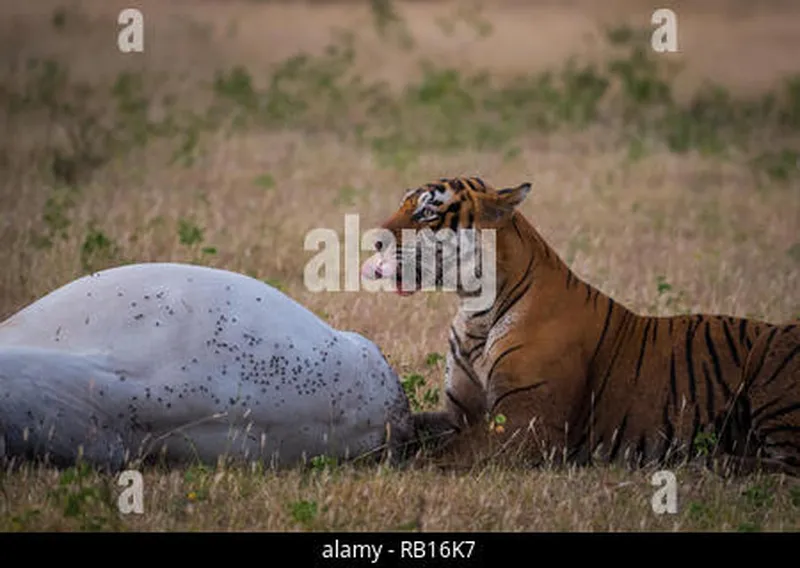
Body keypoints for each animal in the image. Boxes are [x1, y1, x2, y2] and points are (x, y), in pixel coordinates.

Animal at [362, 174, 800, 474]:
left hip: (771, 364)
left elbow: (440, 455)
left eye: (427, 212)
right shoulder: (460, 415)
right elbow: (411, 428)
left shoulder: (527, 426)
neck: (475, 311)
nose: (375, 240)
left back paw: (713, 462)